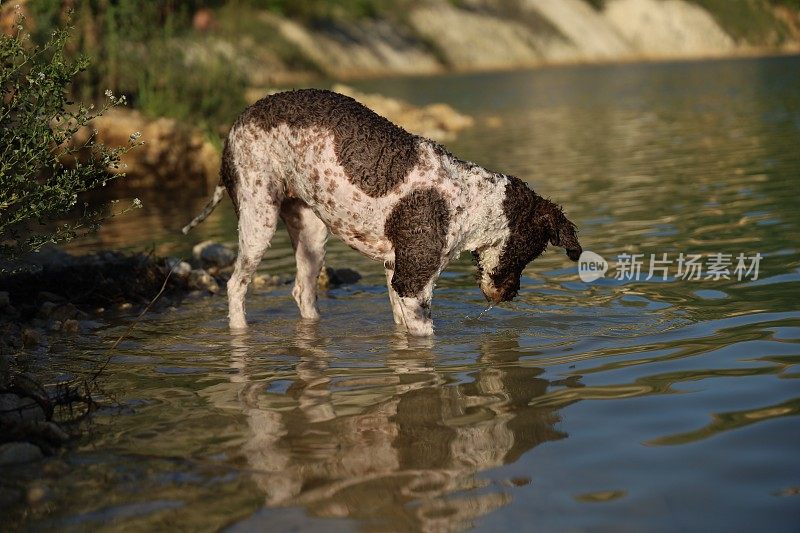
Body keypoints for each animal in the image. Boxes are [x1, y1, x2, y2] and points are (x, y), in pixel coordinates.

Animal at [183, 89, 580, 334]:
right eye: (531, 253)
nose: (511, 295)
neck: (467, 199)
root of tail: (238, 120)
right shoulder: (412, 285)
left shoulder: (394, 274)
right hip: (258, 220)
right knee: (235, 286)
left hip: (311, 235)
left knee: (302, 292)